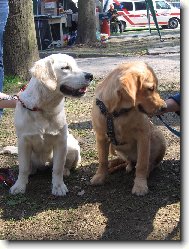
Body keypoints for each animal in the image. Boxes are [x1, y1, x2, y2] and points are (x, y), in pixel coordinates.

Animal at [10, 53, 93, 196]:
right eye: (65, 67)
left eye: (76, 65)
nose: (90, 76)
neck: (43, 108)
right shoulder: (23, 142)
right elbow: (23, 168)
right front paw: (19, 186)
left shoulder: (60, 141)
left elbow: (58, 167)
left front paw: (58, 186)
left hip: (72, 146)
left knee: (63, 165)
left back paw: (65, 171)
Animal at [91, 61, 166, 196]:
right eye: (150, 89)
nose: (165, 107)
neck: (117, 113)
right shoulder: (100, 137)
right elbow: (102, 160)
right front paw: (99, 176)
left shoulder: (143, 136)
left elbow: (142, 163)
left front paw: (140, 185)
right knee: (127, 161)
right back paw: (121, 165)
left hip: (159, 139)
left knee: (150, 163)